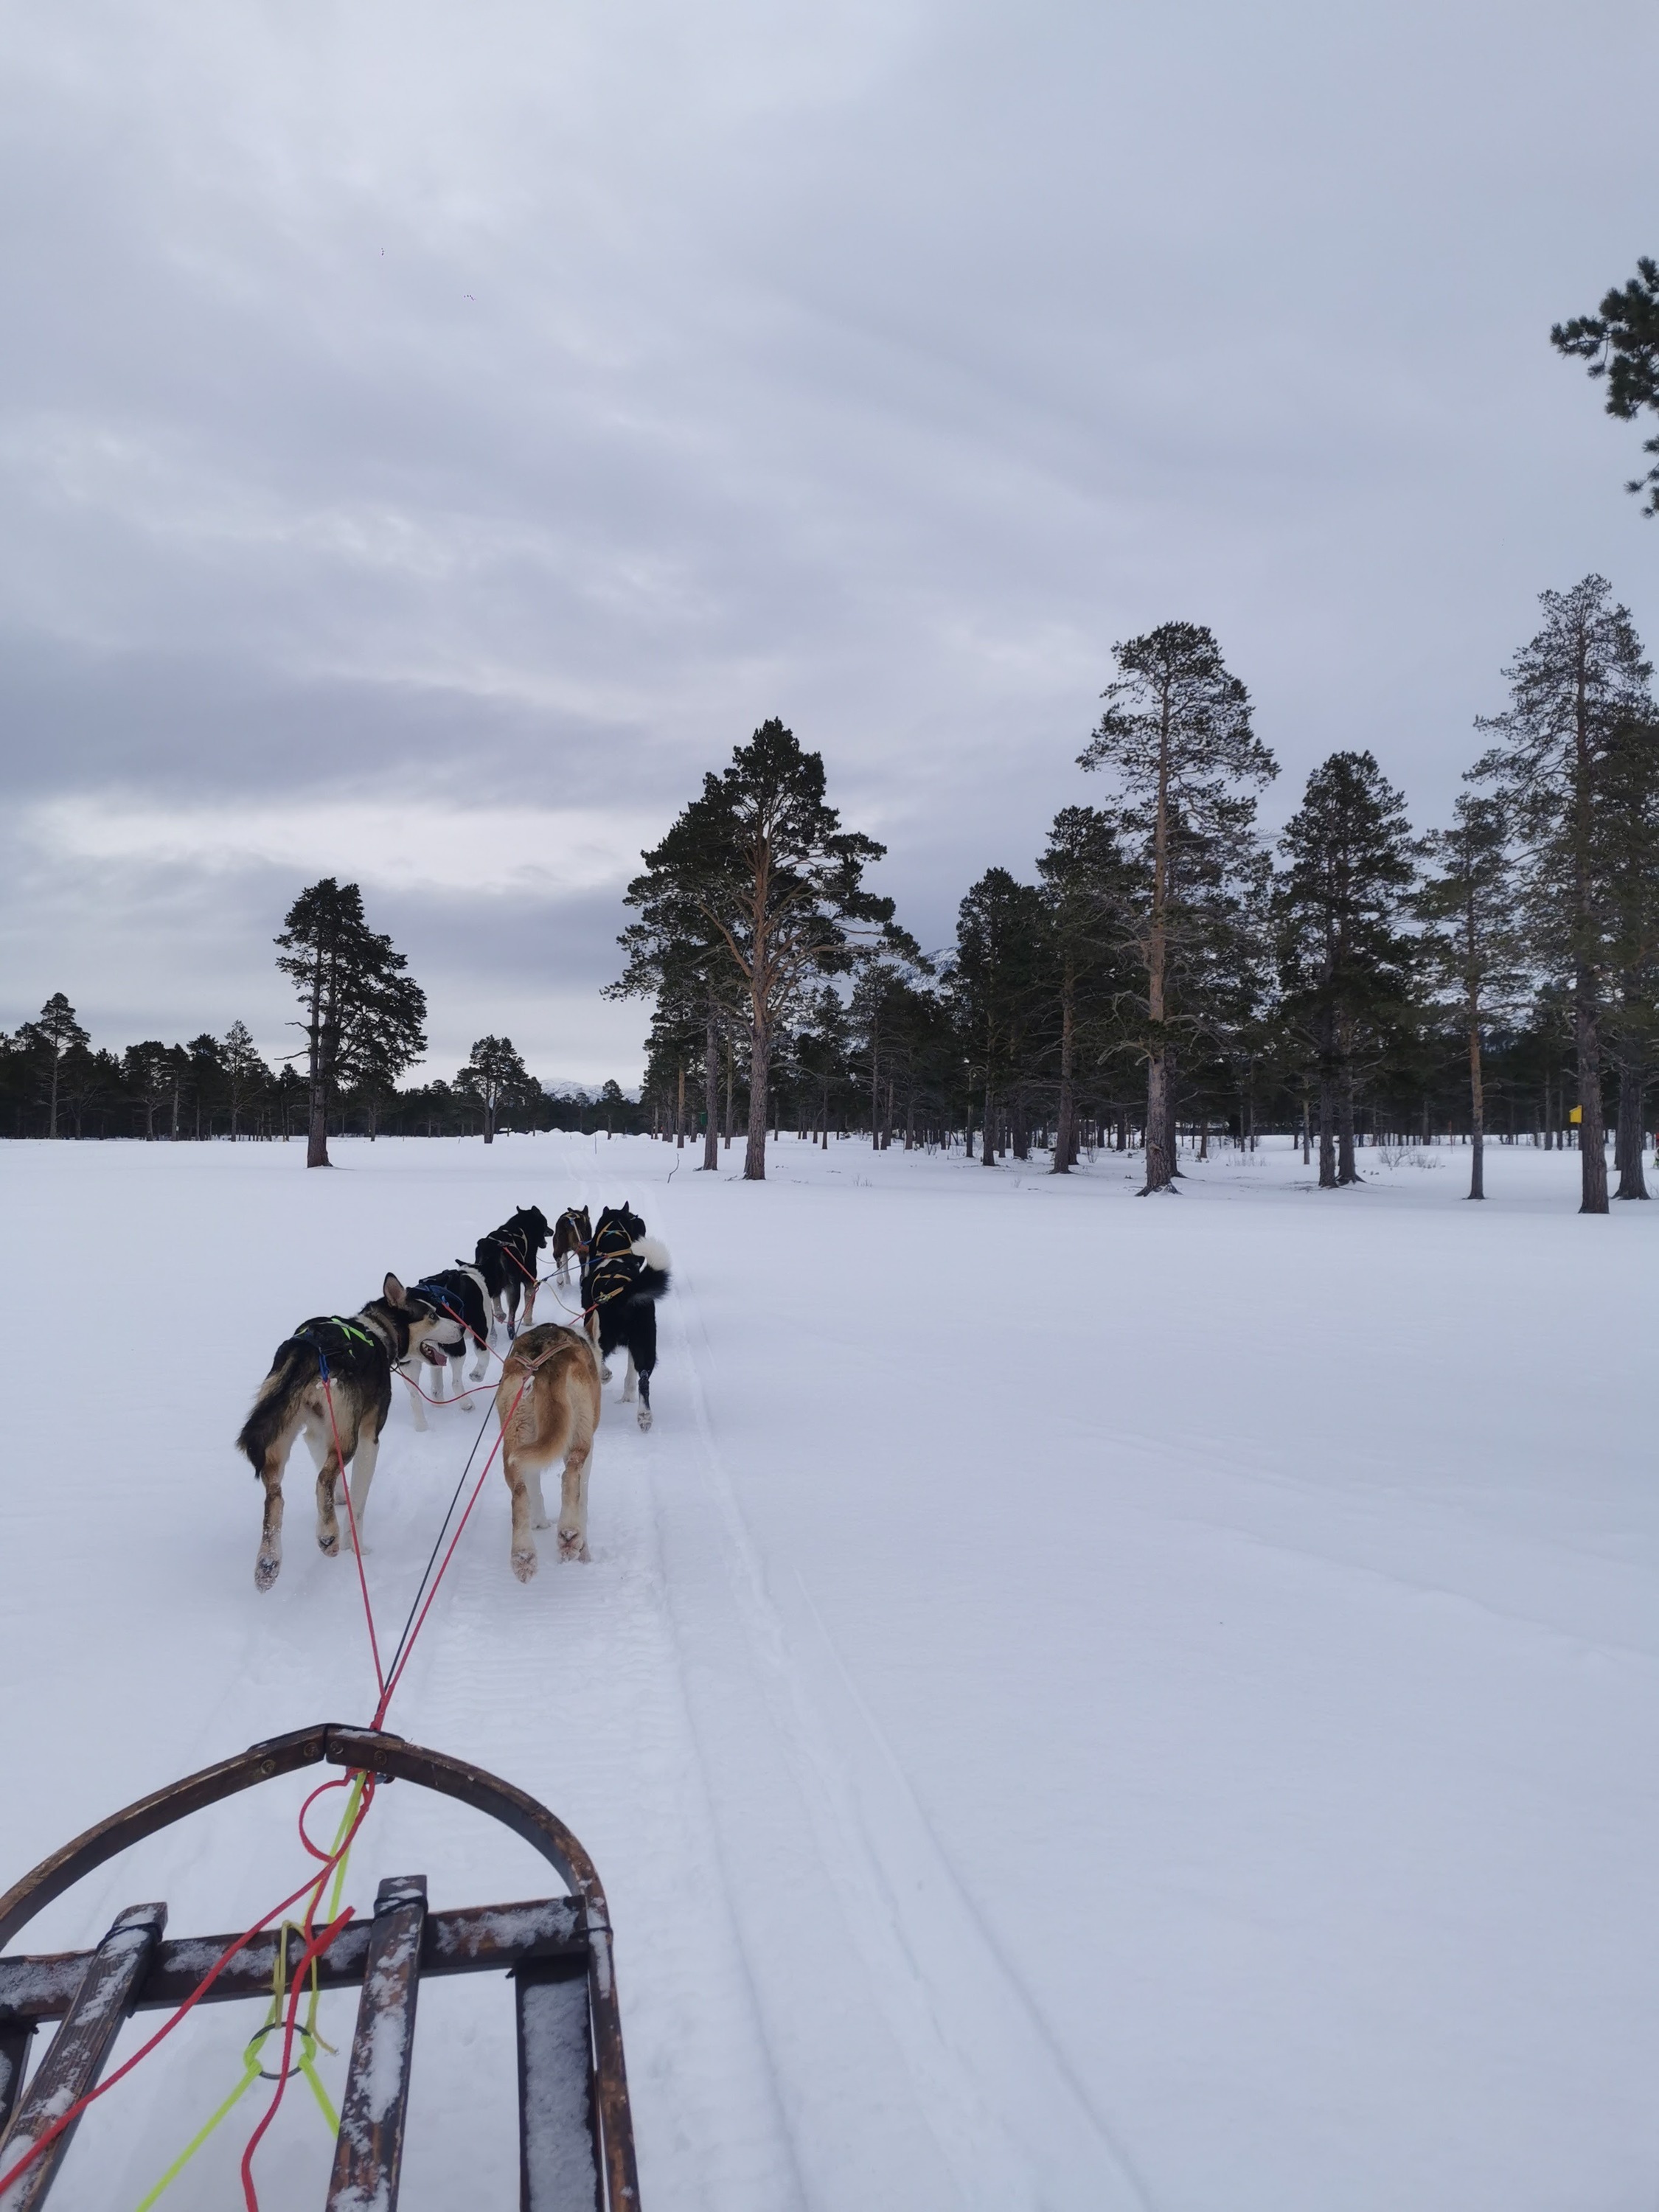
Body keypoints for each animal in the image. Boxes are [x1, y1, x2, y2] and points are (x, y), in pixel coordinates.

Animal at [498, 1318, 606, 1584]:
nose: (606, 1374)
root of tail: (544, 1364)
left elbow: (535, 1489)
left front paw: (539, 1522)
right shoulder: (590, 1451)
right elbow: (582, 1498)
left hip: (515, 1440)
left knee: (520, 1492)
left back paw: (523, 1556)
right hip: (579, 1435)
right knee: (570, 1474)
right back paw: (569, 1535)